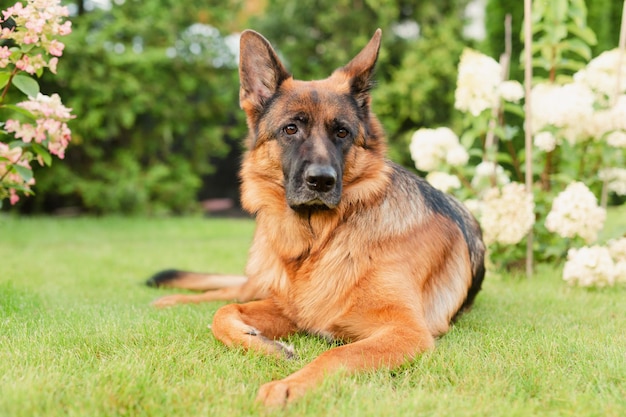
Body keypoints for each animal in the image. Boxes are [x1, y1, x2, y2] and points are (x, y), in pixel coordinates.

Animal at [149, 30, 486, 406]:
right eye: (290, 129)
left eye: (342, 132)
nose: (321, 181)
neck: (319, 242)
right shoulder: (290, 309)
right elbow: (222, 314)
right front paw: (263, 345)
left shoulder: (405, 331)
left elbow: (337, 353)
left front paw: (287, 386)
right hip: (262, 279)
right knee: (227, 292)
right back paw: (171, 300)